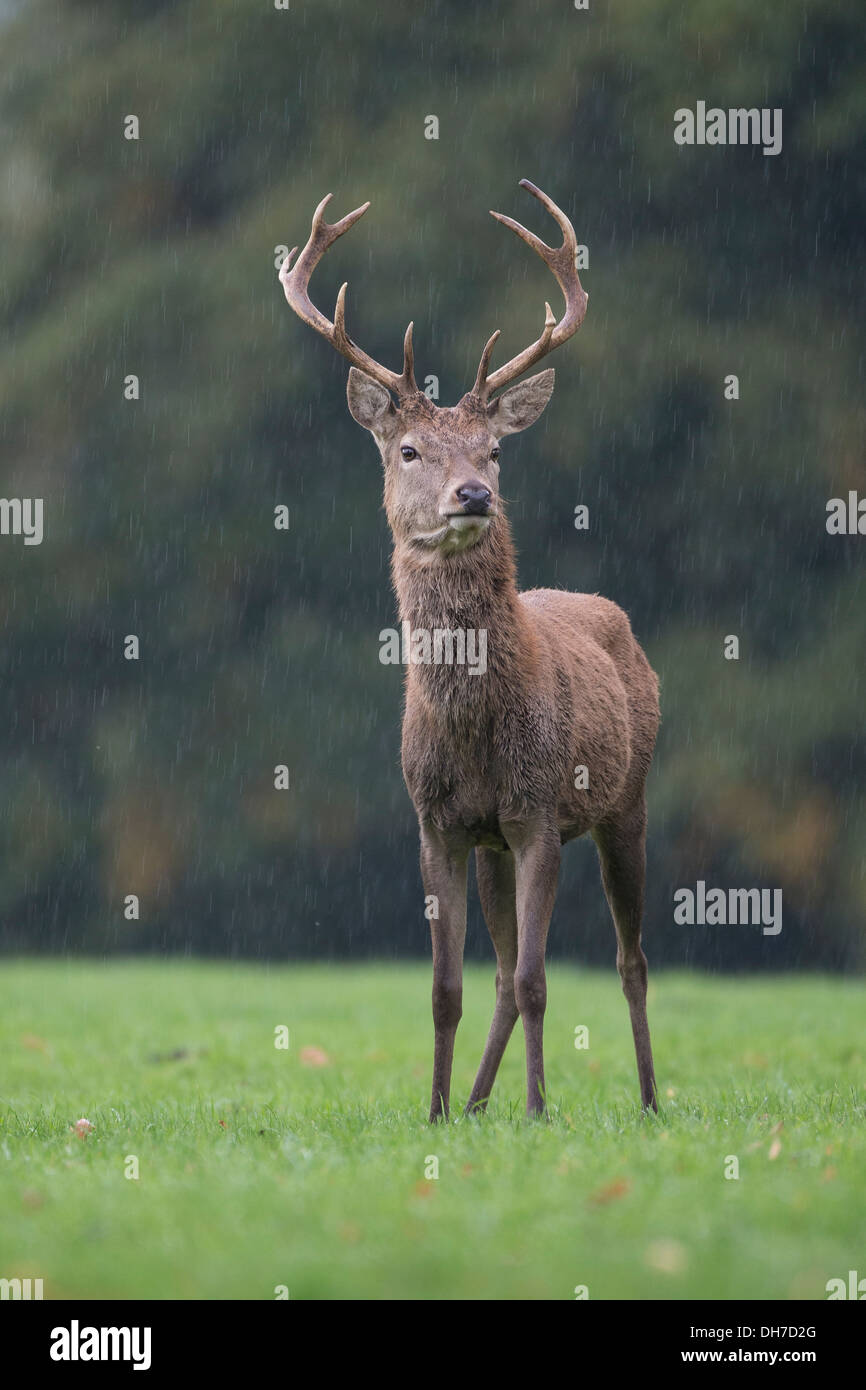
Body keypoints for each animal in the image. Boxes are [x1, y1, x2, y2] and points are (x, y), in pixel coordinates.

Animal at [279, 180, 660, 1121]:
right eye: (410, 448)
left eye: (494, 449)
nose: (474, 494)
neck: (476, 730)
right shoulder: (440, 823)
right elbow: (448, 987)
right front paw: (439, 1110)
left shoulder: (538, 812)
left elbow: (536, 979)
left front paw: (539, 1110)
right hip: (495, 845)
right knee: (496, 980)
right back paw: (483, 1103)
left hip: (627, 799)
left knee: (631, 962)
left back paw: (647, 1101)